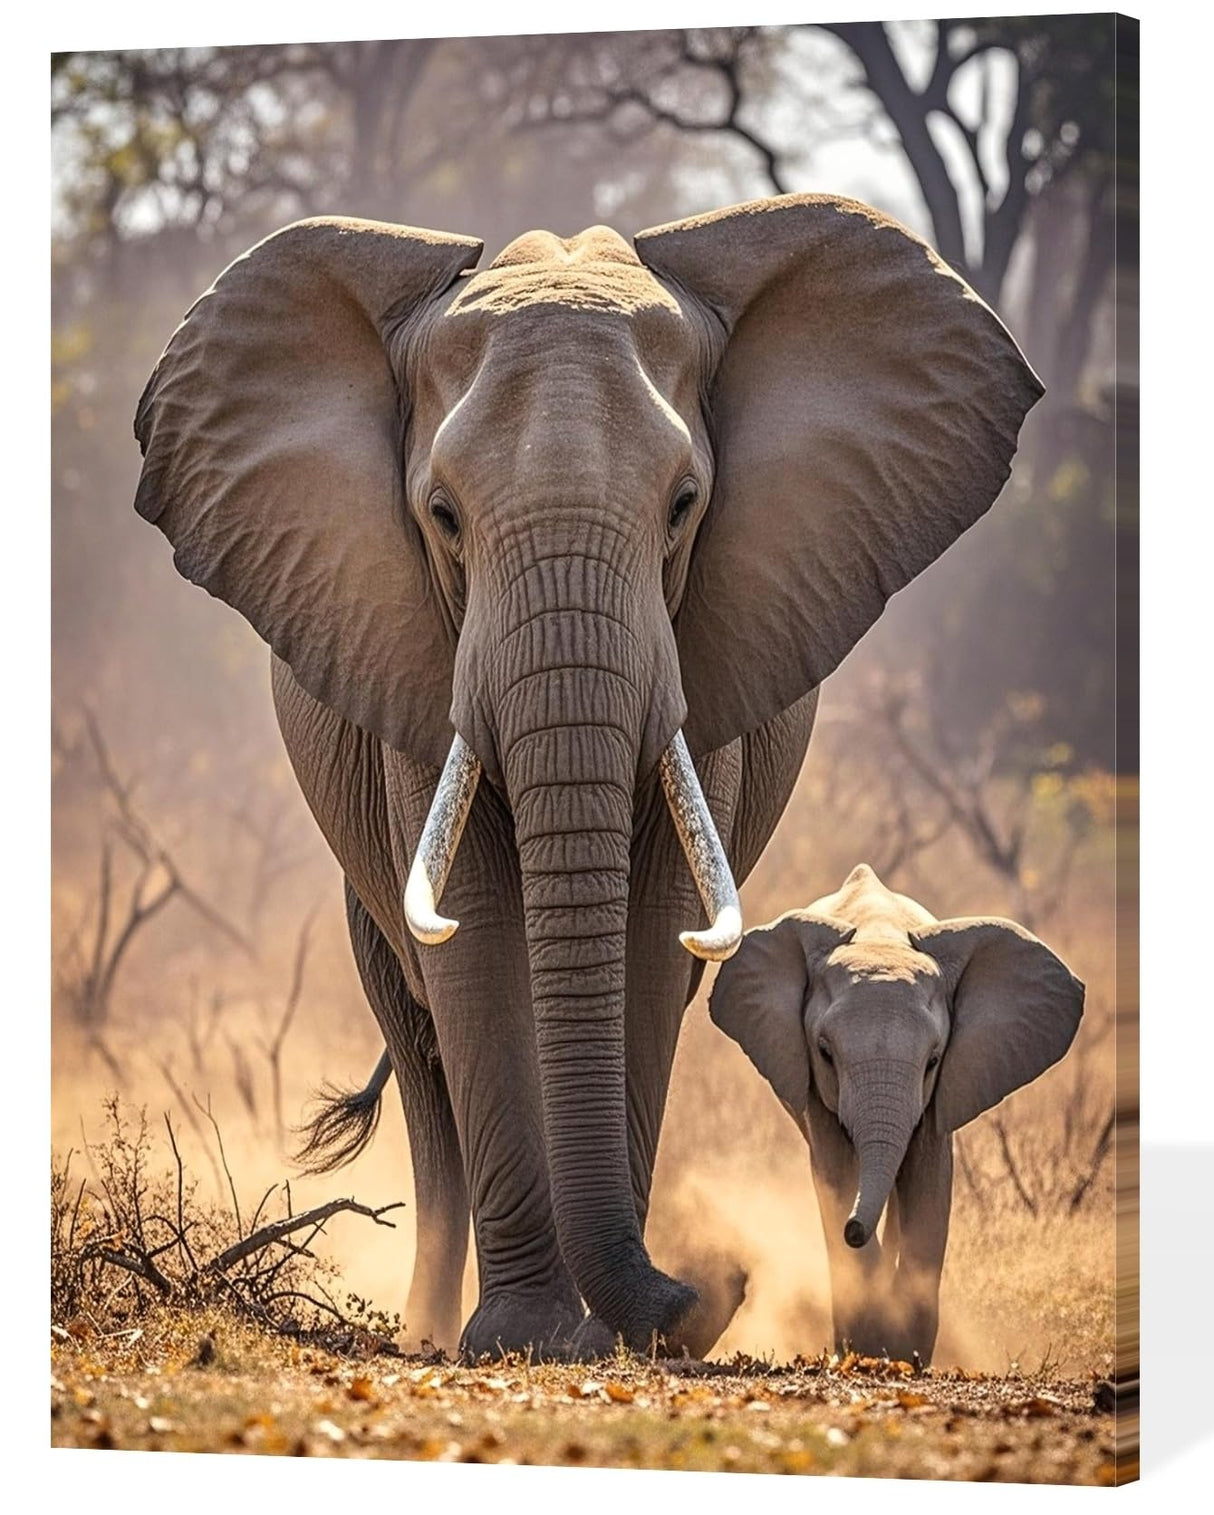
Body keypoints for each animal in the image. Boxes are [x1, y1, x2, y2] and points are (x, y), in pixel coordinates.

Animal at [132, 193, 1042, 1361]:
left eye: (684, 505)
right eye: (441, 516)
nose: (712, 1287)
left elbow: (652, 932)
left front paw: (603, 1338)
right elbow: (474, 932)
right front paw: (519, 1335)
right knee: (420, 1048)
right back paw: (428, 1329)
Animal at [708, 864, 1084, 1364]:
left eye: (933, 1060)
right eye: (825, 1053)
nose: (853, 1230)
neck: (879, 936)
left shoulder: (944, 1090)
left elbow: (929, 1177)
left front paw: (907, 1353)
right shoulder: (813, 1089)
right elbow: (836, 1172)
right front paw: (869, 1342)